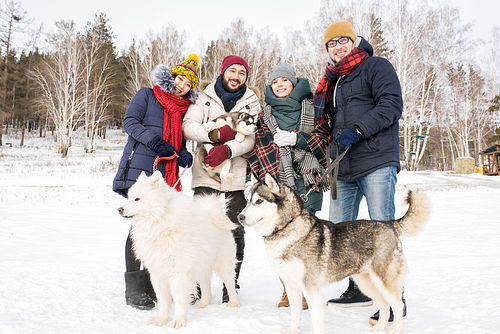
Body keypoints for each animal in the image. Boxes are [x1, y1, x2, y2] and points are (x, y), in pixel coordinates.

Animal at [118, 171, 241, 328]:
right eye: (128, 197)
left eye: (137, 199)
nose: (120, 209)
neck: (160, 221)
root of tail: (215, 214)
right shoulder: (157, 272)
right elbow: (163, 300)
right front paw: (160, 320)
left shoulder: (179, 271)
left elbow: (179, 299)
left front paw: (178, 321)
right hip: (200, 265)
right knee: (206, 285)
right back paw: (204, 303)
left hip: (222, 263)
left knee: (230, 283)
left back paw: (233, 302)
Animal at [238, 172, 430, 334]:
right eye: (247, 201)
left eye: (259, 201)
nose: (240, 217)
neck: (286, 227)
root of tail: (388, 223)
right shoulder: (291, 285)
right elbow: (294, 314)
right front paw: (293, 330)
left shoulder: (310, 288)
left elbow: (316, 319)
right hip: (366, 282)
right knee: (383, 304)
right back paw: (380, 327)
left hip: (384, 281)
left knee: (397, 305)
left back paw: (395, 329)